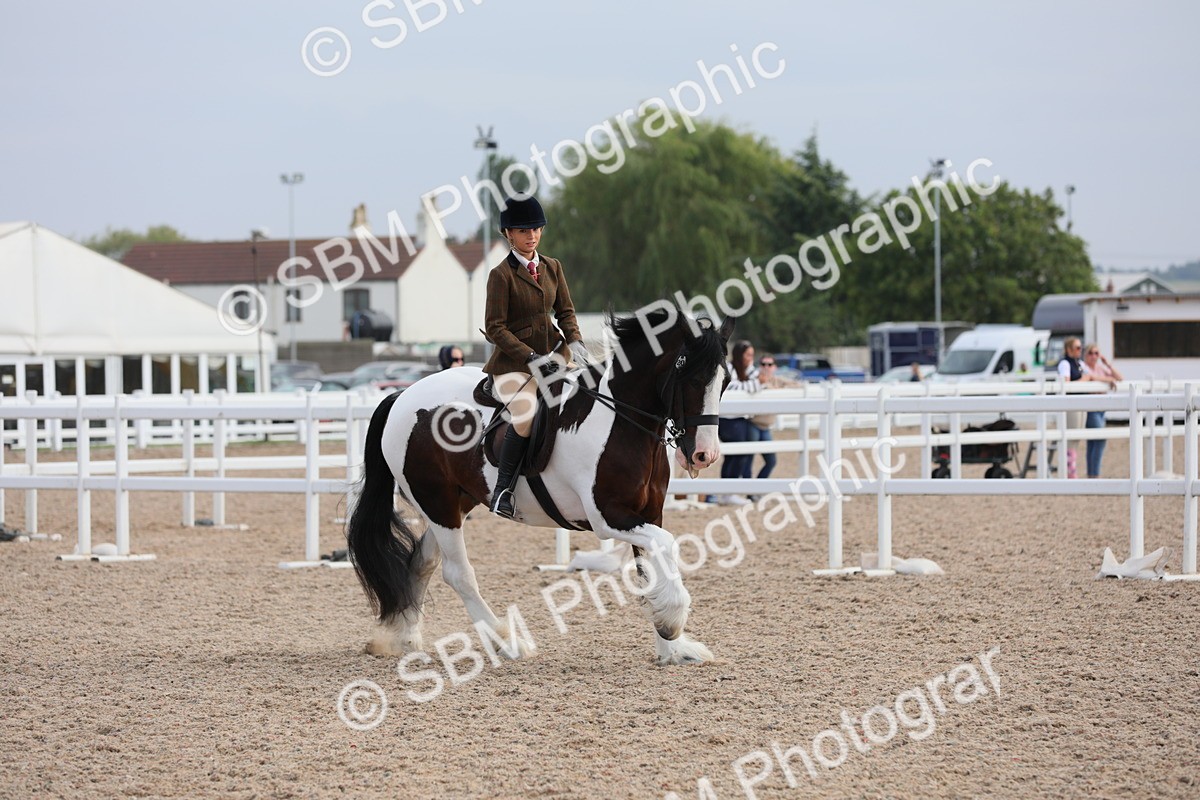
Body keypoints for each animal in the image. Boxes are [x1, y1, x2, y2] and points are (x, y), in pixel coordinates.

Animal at [346, 305, 734, 665]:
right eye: (691, 376)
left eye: (725, 381)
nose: (704, 455)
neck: (619, 419)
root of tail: (401, 396)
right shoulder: (608, 518)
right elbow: (665, 544)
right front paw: (672, 622)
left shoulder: (648, 512)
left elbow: (652, 567)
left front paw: (673, 648)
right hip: (437, 502)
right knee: (458, 574)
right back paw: (507, 642)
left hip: (454, 502)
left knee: (422, 561)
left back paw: (403, 637)